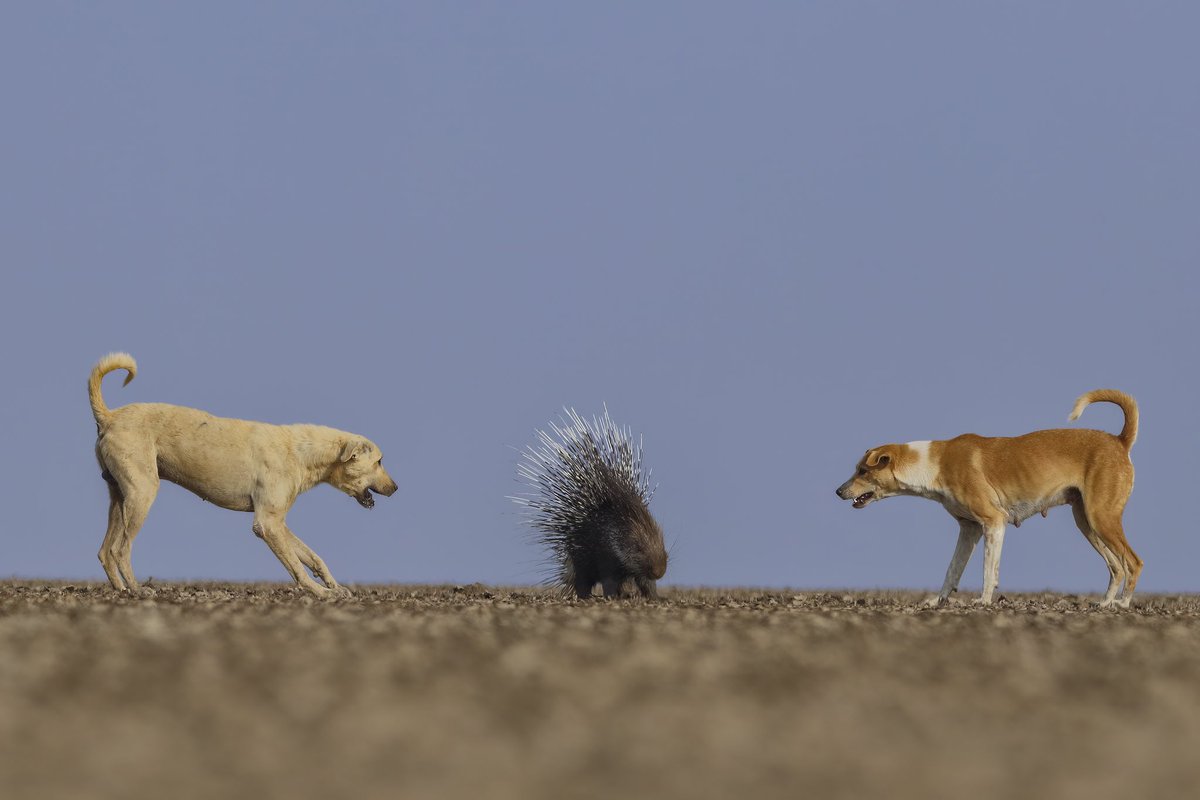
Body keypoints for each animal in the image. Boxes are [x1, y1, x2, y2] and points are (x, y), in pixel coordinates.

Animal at [90, 352, 398, 597]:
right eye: (379, 461)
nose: (396, 488)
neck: (301, 452)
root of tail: (109, 416)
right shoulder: (267, 525)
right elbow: (297, 568)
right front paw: (321, 593)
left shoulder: (278, 523)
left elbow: (313, 557)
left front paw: (335, 587)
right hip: (142, 494)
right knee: (121, 549)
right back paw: (137, 589)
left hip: (120, 497)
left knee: (105, 551)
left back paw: (120, 589)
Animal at [835, 391, 1142, 609]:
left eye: (863, 471)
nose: (838, 491)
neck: (934, 464)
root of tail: (1119, 440)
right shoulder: (969, 529)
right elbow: (952, 571)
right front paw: (937, 601)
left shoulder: (993, 522)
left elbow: (987, 570)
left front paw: (983, 601)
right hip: (1086, 521)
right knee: (1116, 567)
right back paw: (1104, 603)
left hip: (1101, 517)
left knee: (1133, 562)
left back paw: (1123, 603)